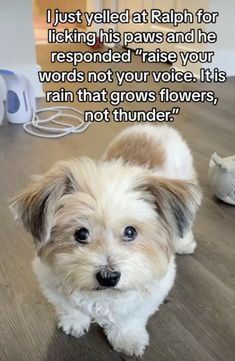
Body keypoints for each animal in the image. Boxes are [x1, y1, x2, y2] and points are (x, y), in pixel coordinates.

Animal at [10, 125, 201, 356]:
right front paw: (74, 321)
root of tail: (152, 127)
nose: (108, 276)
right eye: (81, 234)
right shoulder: (51, 279)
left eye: (130, 232)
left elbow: (130, 317)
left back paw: (183, 243)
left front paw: (127, 338)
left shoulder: (153, 289)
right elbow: (70, 305)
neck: (105, 297)